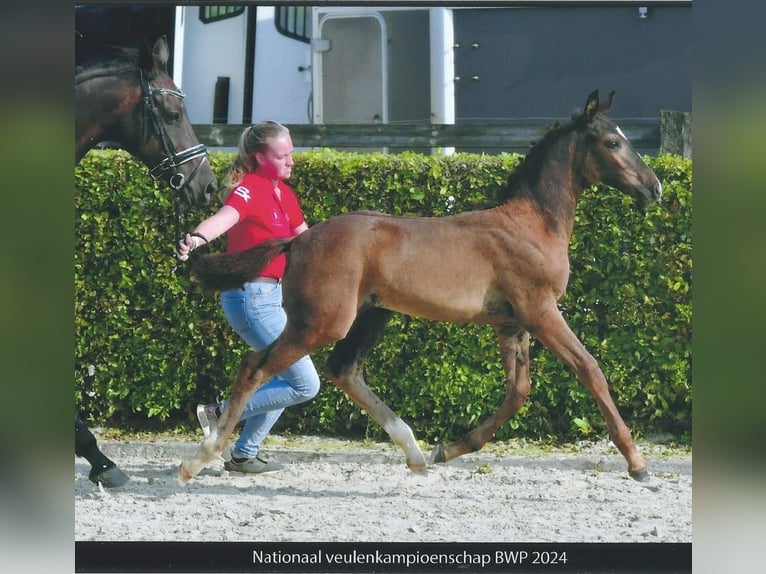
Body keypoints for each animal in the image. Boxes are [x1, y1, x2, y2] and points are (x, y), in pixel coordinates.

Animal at [180, 90, 664, 486]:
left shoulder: (511, 323)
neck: (531, 224)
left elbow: (517, 392)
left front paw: (448, 449)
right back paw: (198, 458)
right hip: (321, 322)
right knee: (255, 368)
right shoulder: (540, 311)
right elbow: (590, 370)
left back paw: (415, 452)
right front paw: (638, 464)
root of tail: (299, 239)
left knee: (343, 369)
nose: (655, 188)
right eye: (613, 142)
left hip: (372, 314)